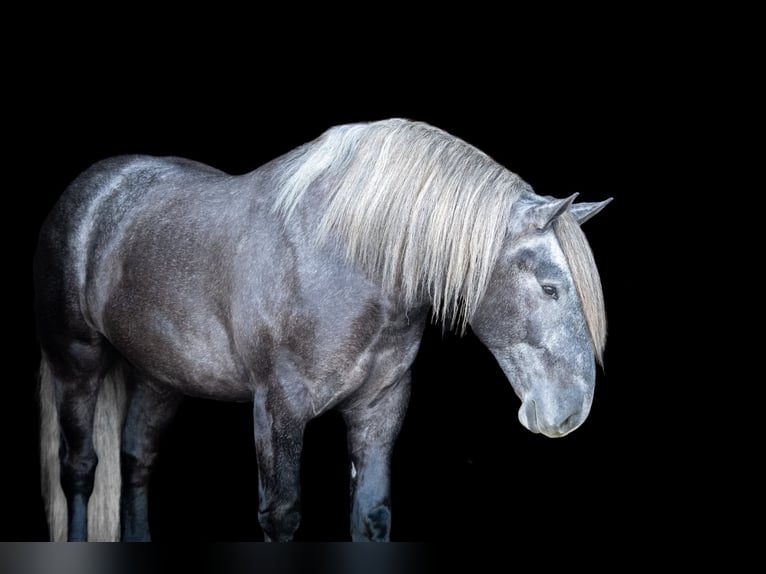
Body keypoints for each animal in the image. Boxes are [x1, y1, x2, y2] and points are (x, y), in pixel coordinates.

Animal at [34, 118, 611, 542]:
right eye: (550, 288)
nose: (571, 412)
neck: (344, 259)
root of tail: (93, 191)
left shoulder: (378, 408)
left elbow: (372, 514)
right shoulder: (278, 408)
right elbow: (281, 514)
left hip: (160, 378)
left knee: (136, 461)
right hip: (76, 362)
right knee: (80, 468)